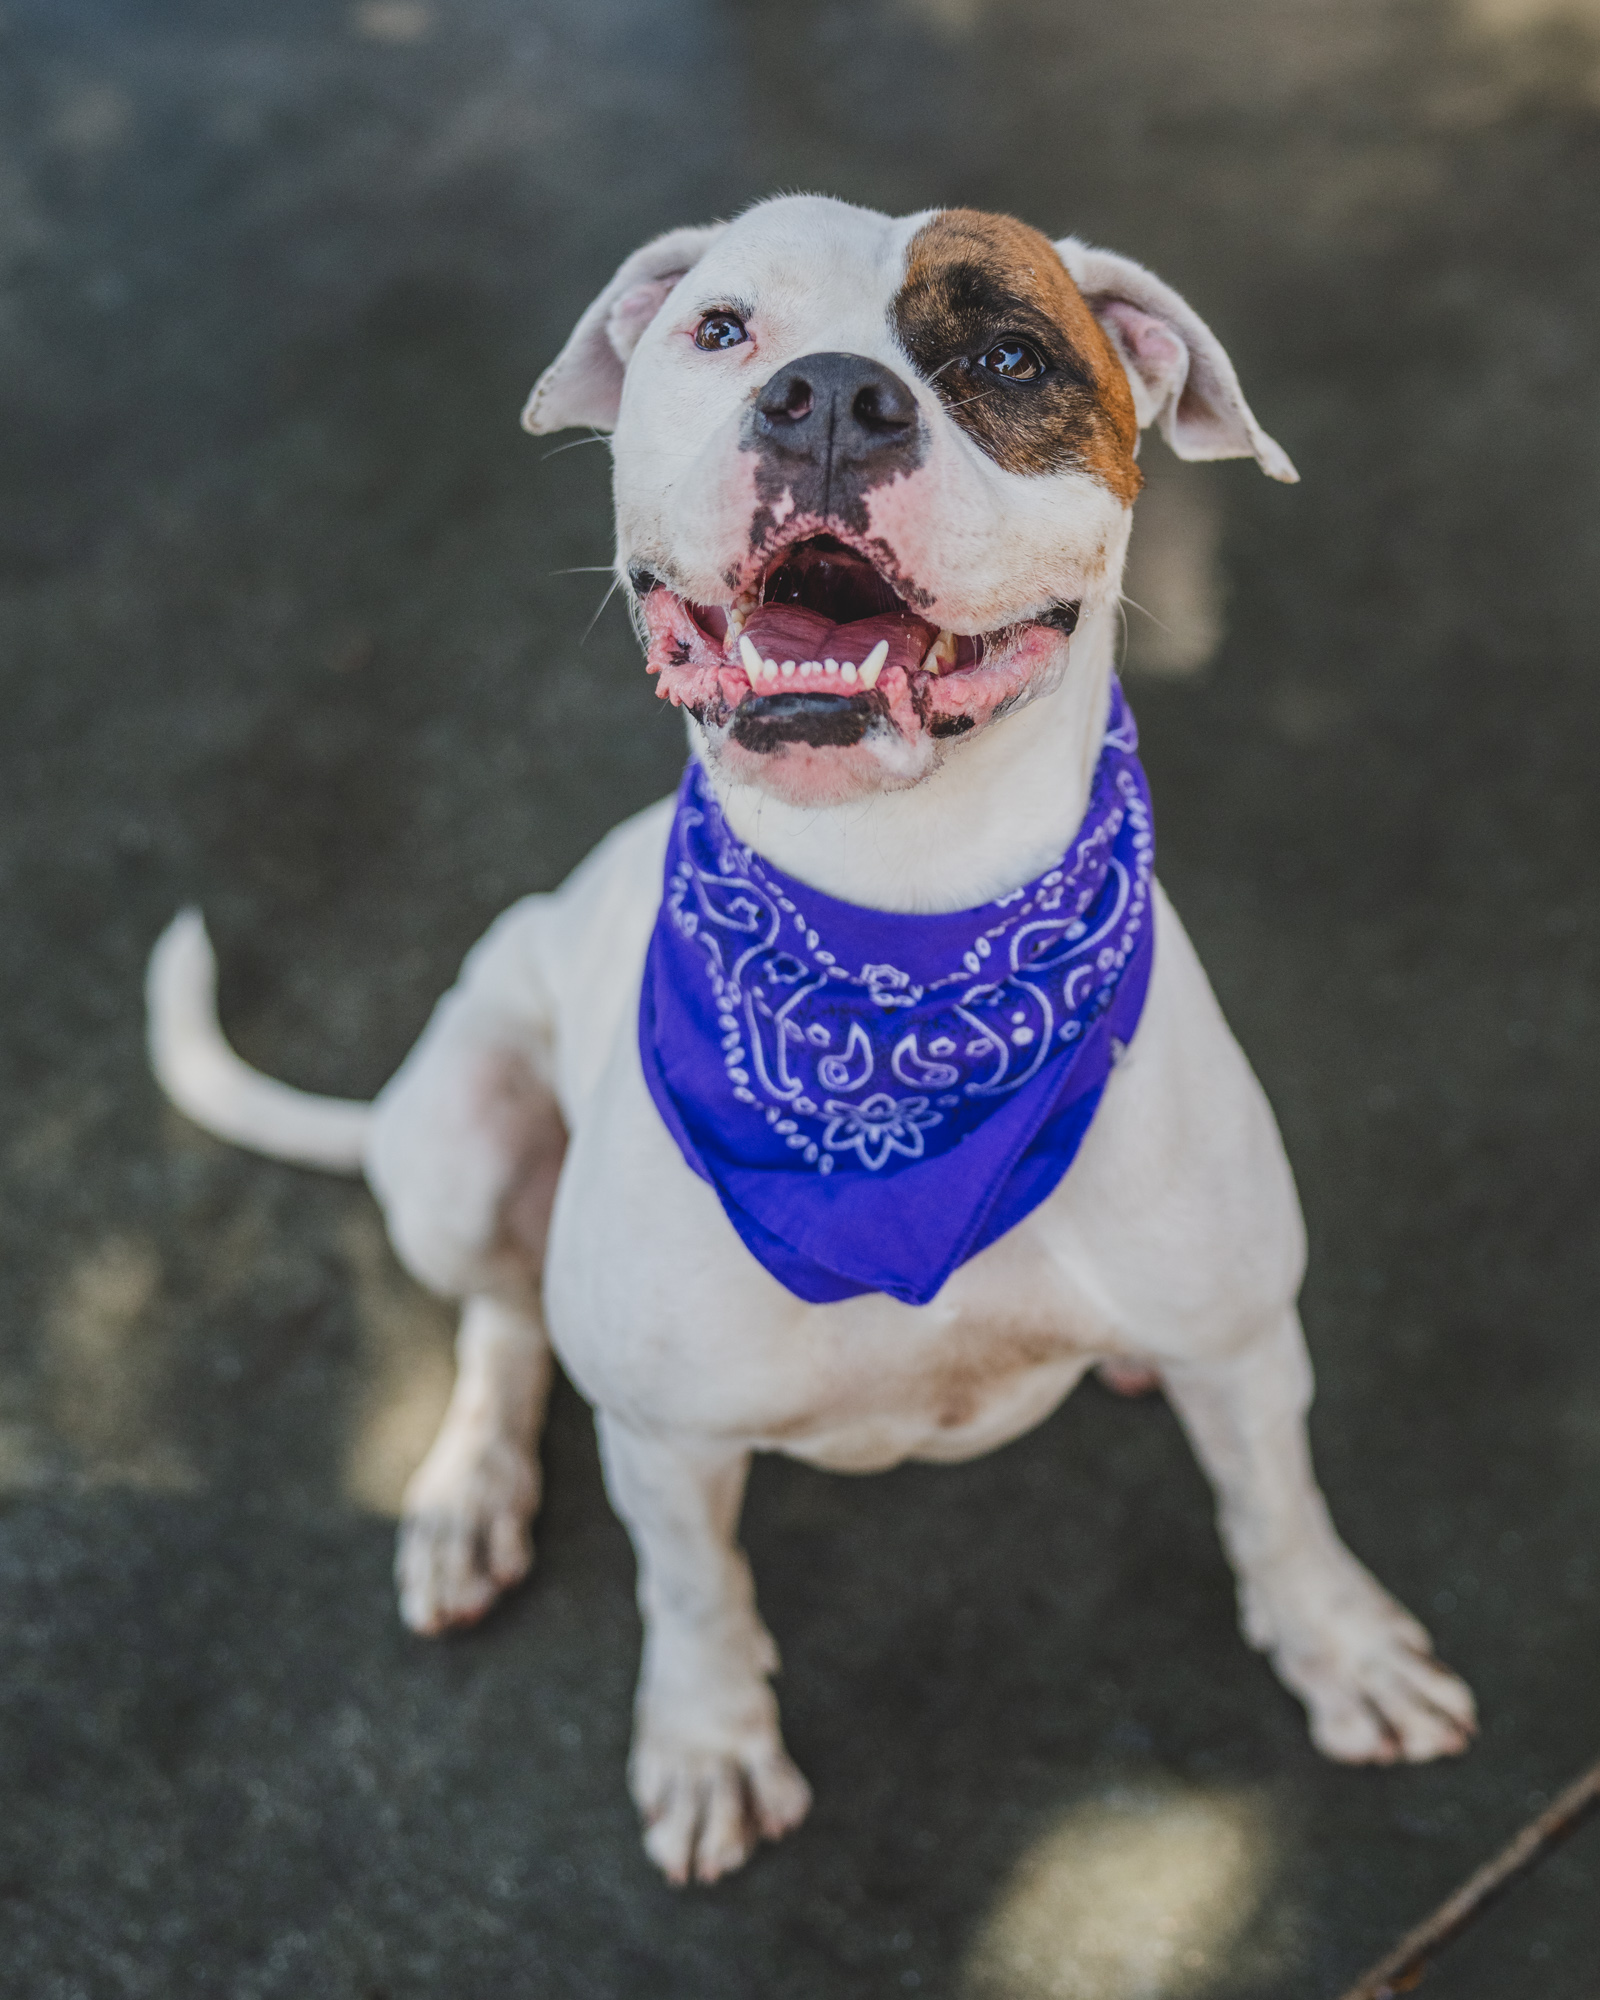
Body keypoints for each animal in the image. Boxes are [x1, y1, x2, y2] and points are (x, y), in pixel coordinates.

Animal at [150, 203, 1472, 1888]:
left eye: (1010, 358)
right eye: (723, 330)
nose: (831, 399)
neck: (896, 954)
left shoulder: (1241, 1344)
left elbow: (1278, 1508)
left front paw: (1341, 1647)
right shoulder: (665, 1439)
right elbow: (694, 1590)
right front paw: (710, 1742)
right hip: (460, 1127)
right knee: (504, 1318)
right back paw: (468, 1494)